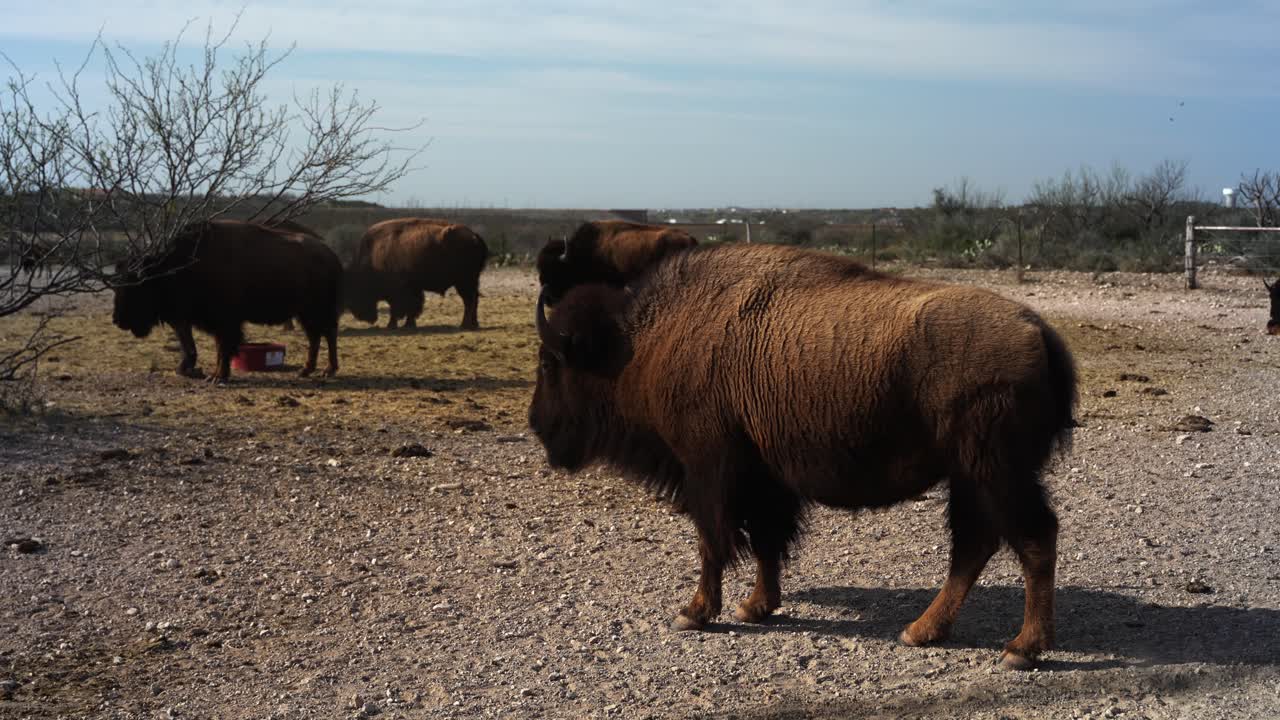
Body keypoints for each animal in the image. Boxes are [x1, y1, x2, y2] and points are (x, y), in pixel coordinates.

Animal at [112, 219, 343, 381]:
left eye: (135, 287)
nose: (117, 320)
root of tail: (331, 255)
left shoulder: (225, 321)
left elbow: (224, 346)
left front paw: (218, 376)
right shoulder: (210, 321)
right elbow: (216, 346)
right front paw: (215, 374)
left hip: (319, 310)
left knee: (328, 335)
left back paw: (328, 370)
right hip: (305, 313)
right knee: (315, 337)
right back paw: (306, 370)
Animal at [345, 218, 488, 330]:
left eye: (355, 288)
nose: (364, 317)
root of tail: (474, 236)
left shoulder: (398, 291)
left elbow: (399, 308)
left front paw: (392, 325)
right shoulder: (413, 288)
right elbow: (411, 307)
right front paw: (408, 324)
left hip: (464, 282)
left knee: (469, 301)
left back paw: (464, 325)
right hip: (471, 281)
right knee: (474, 299)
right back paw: (474, 324)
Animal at [528, 243, 1077, 670]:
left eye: (550, 362)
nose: (537, 424)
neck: (639, 341)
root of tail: (1039, 331)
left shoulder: (709, 470)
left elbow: (713, 542)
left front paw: (695, 613)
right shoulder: (765, 480)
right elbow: (767, 542)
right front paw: (755, 607)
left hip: (994, 474)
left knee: (1032, 538)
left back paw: (1021, 649)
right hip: (969, 478)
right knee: (975, 545)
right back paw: (921, 630)